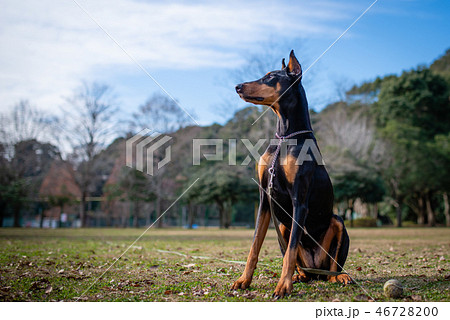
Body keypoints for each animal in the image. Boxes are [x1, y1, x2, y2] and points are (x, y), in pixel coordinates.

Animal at [232, 49, 352, 298]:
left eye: (269, 77)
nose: (237, 86)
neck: (285, 136)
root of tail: (316, 269)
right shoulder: (264, 199)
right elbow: (255, 245)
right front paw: (244, 279)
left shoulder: (300, 200)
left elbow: (290, 251)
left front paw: (282, 285)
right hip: (283, 227)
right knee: (303, 267)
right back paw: (300, 276)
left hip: (337, 222)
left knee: (333, 266)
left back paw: (340, 276)